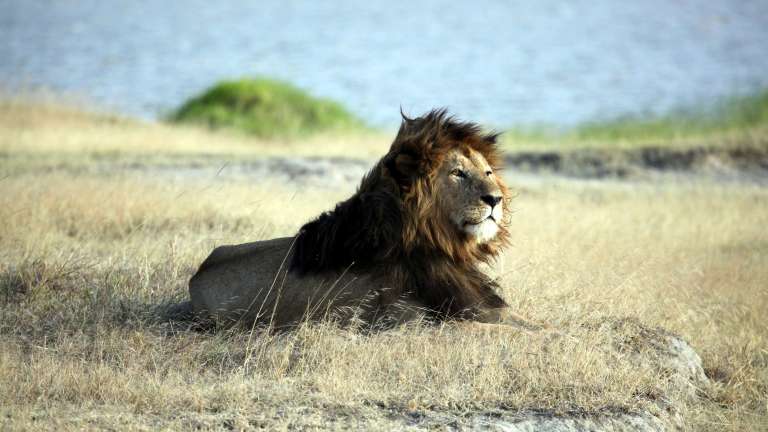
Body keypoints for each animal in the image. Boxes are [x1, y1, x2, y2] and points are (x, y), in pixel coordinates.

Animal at [189, 109, 532, 330]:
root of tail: (195, 278)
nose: (495, 199)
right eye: (458, 173)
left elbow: (532, 323)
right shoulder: (415, 321)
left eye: (487, 172)